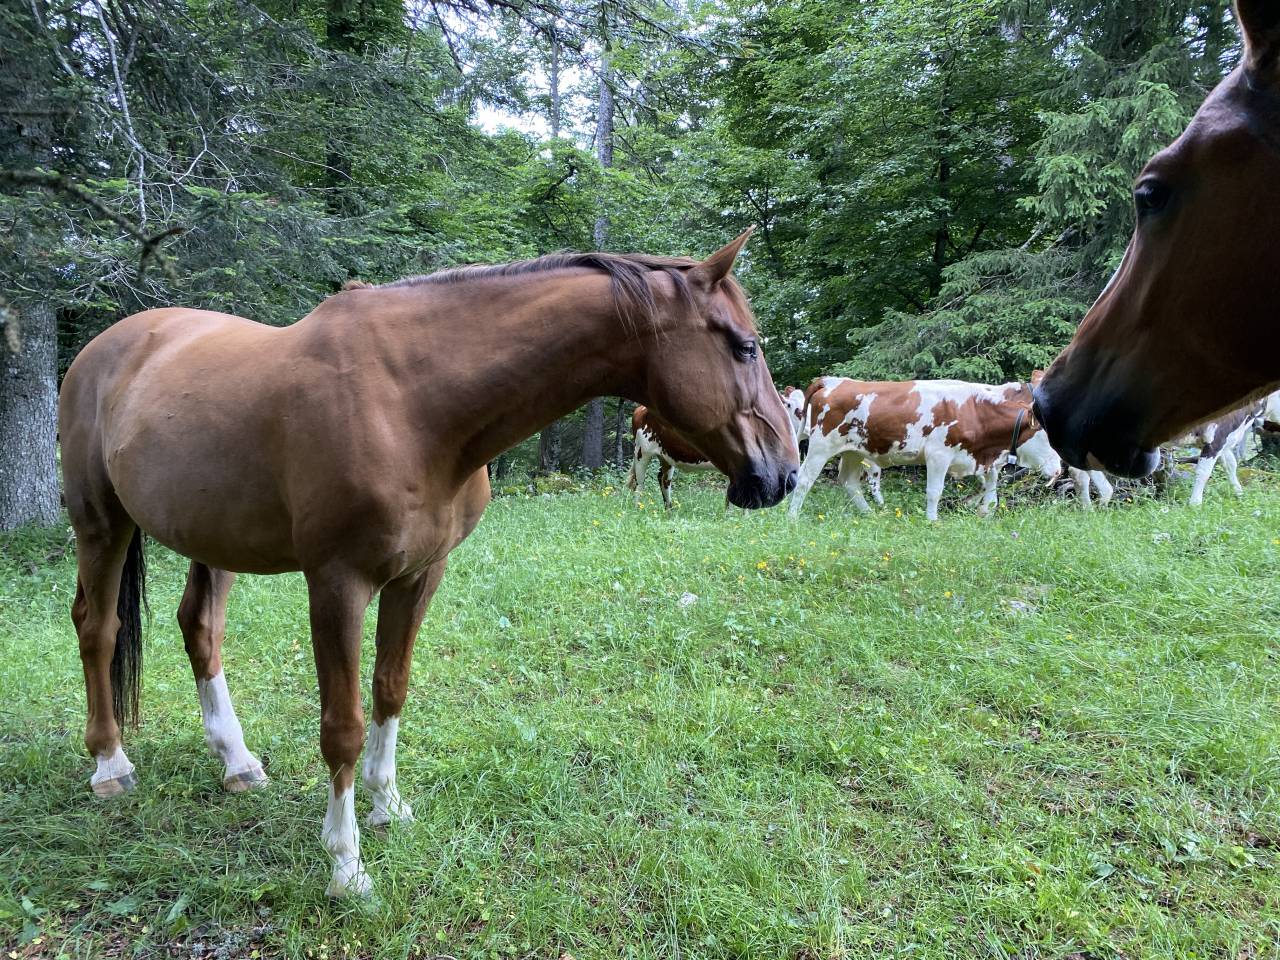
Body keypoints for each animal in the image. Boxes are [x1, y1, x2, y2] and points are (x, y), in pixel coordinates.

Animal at [58, 229, 799, 897]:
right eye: (744, 345)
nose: (785, 474)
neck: (412, 402)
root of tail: (106, 348)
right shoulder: (337, 585)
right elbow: (343, 727)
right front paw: (345, 864)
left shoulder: (419, 576)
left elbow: (391, 690)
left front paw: (388, 808)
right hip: (101, 524)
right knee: (97, 629)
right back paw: (110, 766)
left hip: (211, 538)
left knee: (200, 627)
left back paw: (237, 762)